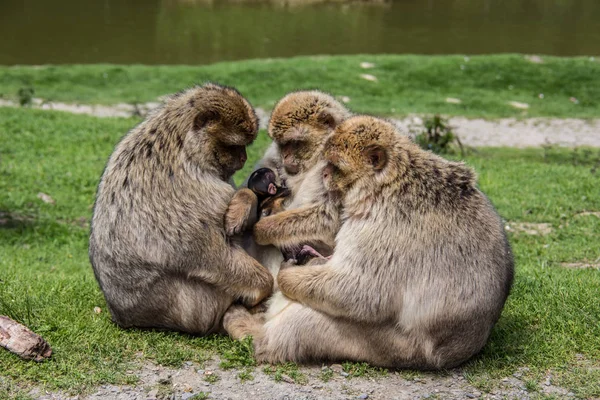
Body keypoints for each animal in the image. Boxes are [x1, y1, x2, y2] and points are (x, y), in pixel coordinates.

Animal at [88, 82, 274, 334]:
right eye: (235, 145)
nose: (244, 158)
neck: (184, 147)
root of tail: (123, 317)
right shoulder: (190, 187)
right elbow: (207, 253)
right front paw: (263, 287)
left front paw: (243, 203)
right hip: (199, 309)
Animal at [223, 115, 512, 368]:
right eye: (326, 162)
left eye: (335, 166)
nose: (324, 174)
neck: (389, 182)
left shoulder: (383, 227)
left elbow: (359, 291)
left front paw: (289, 272)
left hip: (394, 347)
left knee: (307, 320)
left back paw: (252, 332)